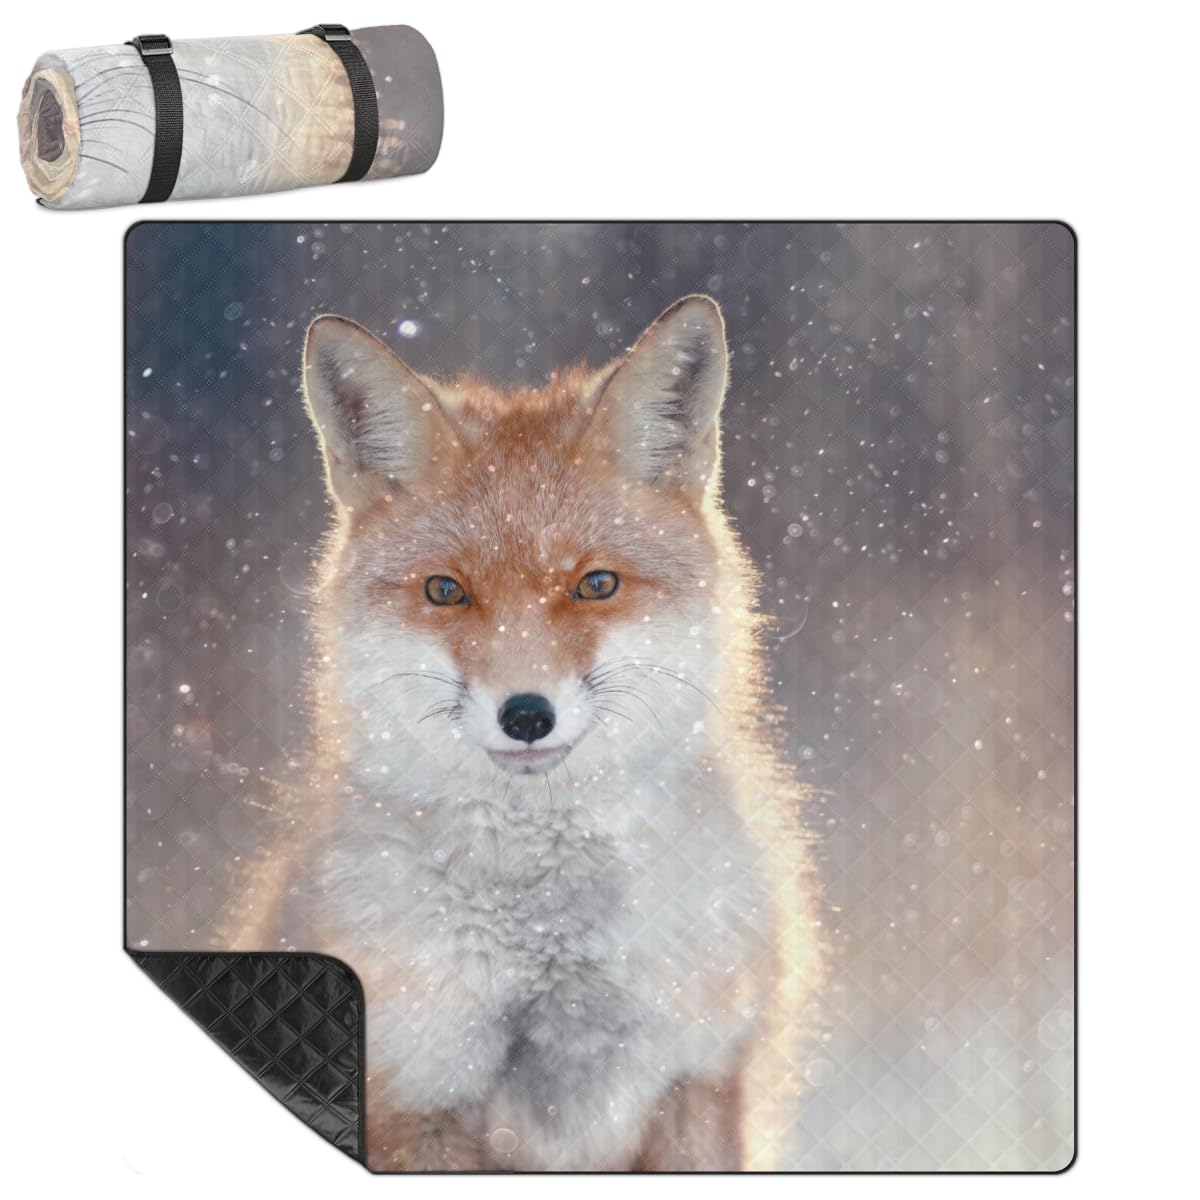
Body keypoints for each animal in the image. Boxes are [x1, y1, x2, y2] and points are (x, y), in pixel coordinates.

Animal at [220, 295, 824, 1171]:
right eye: (445, 591)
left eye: (595, 584)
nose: (528, 715)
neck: (549, 936)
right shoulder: (418, 1093)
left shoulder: (700, 1076)